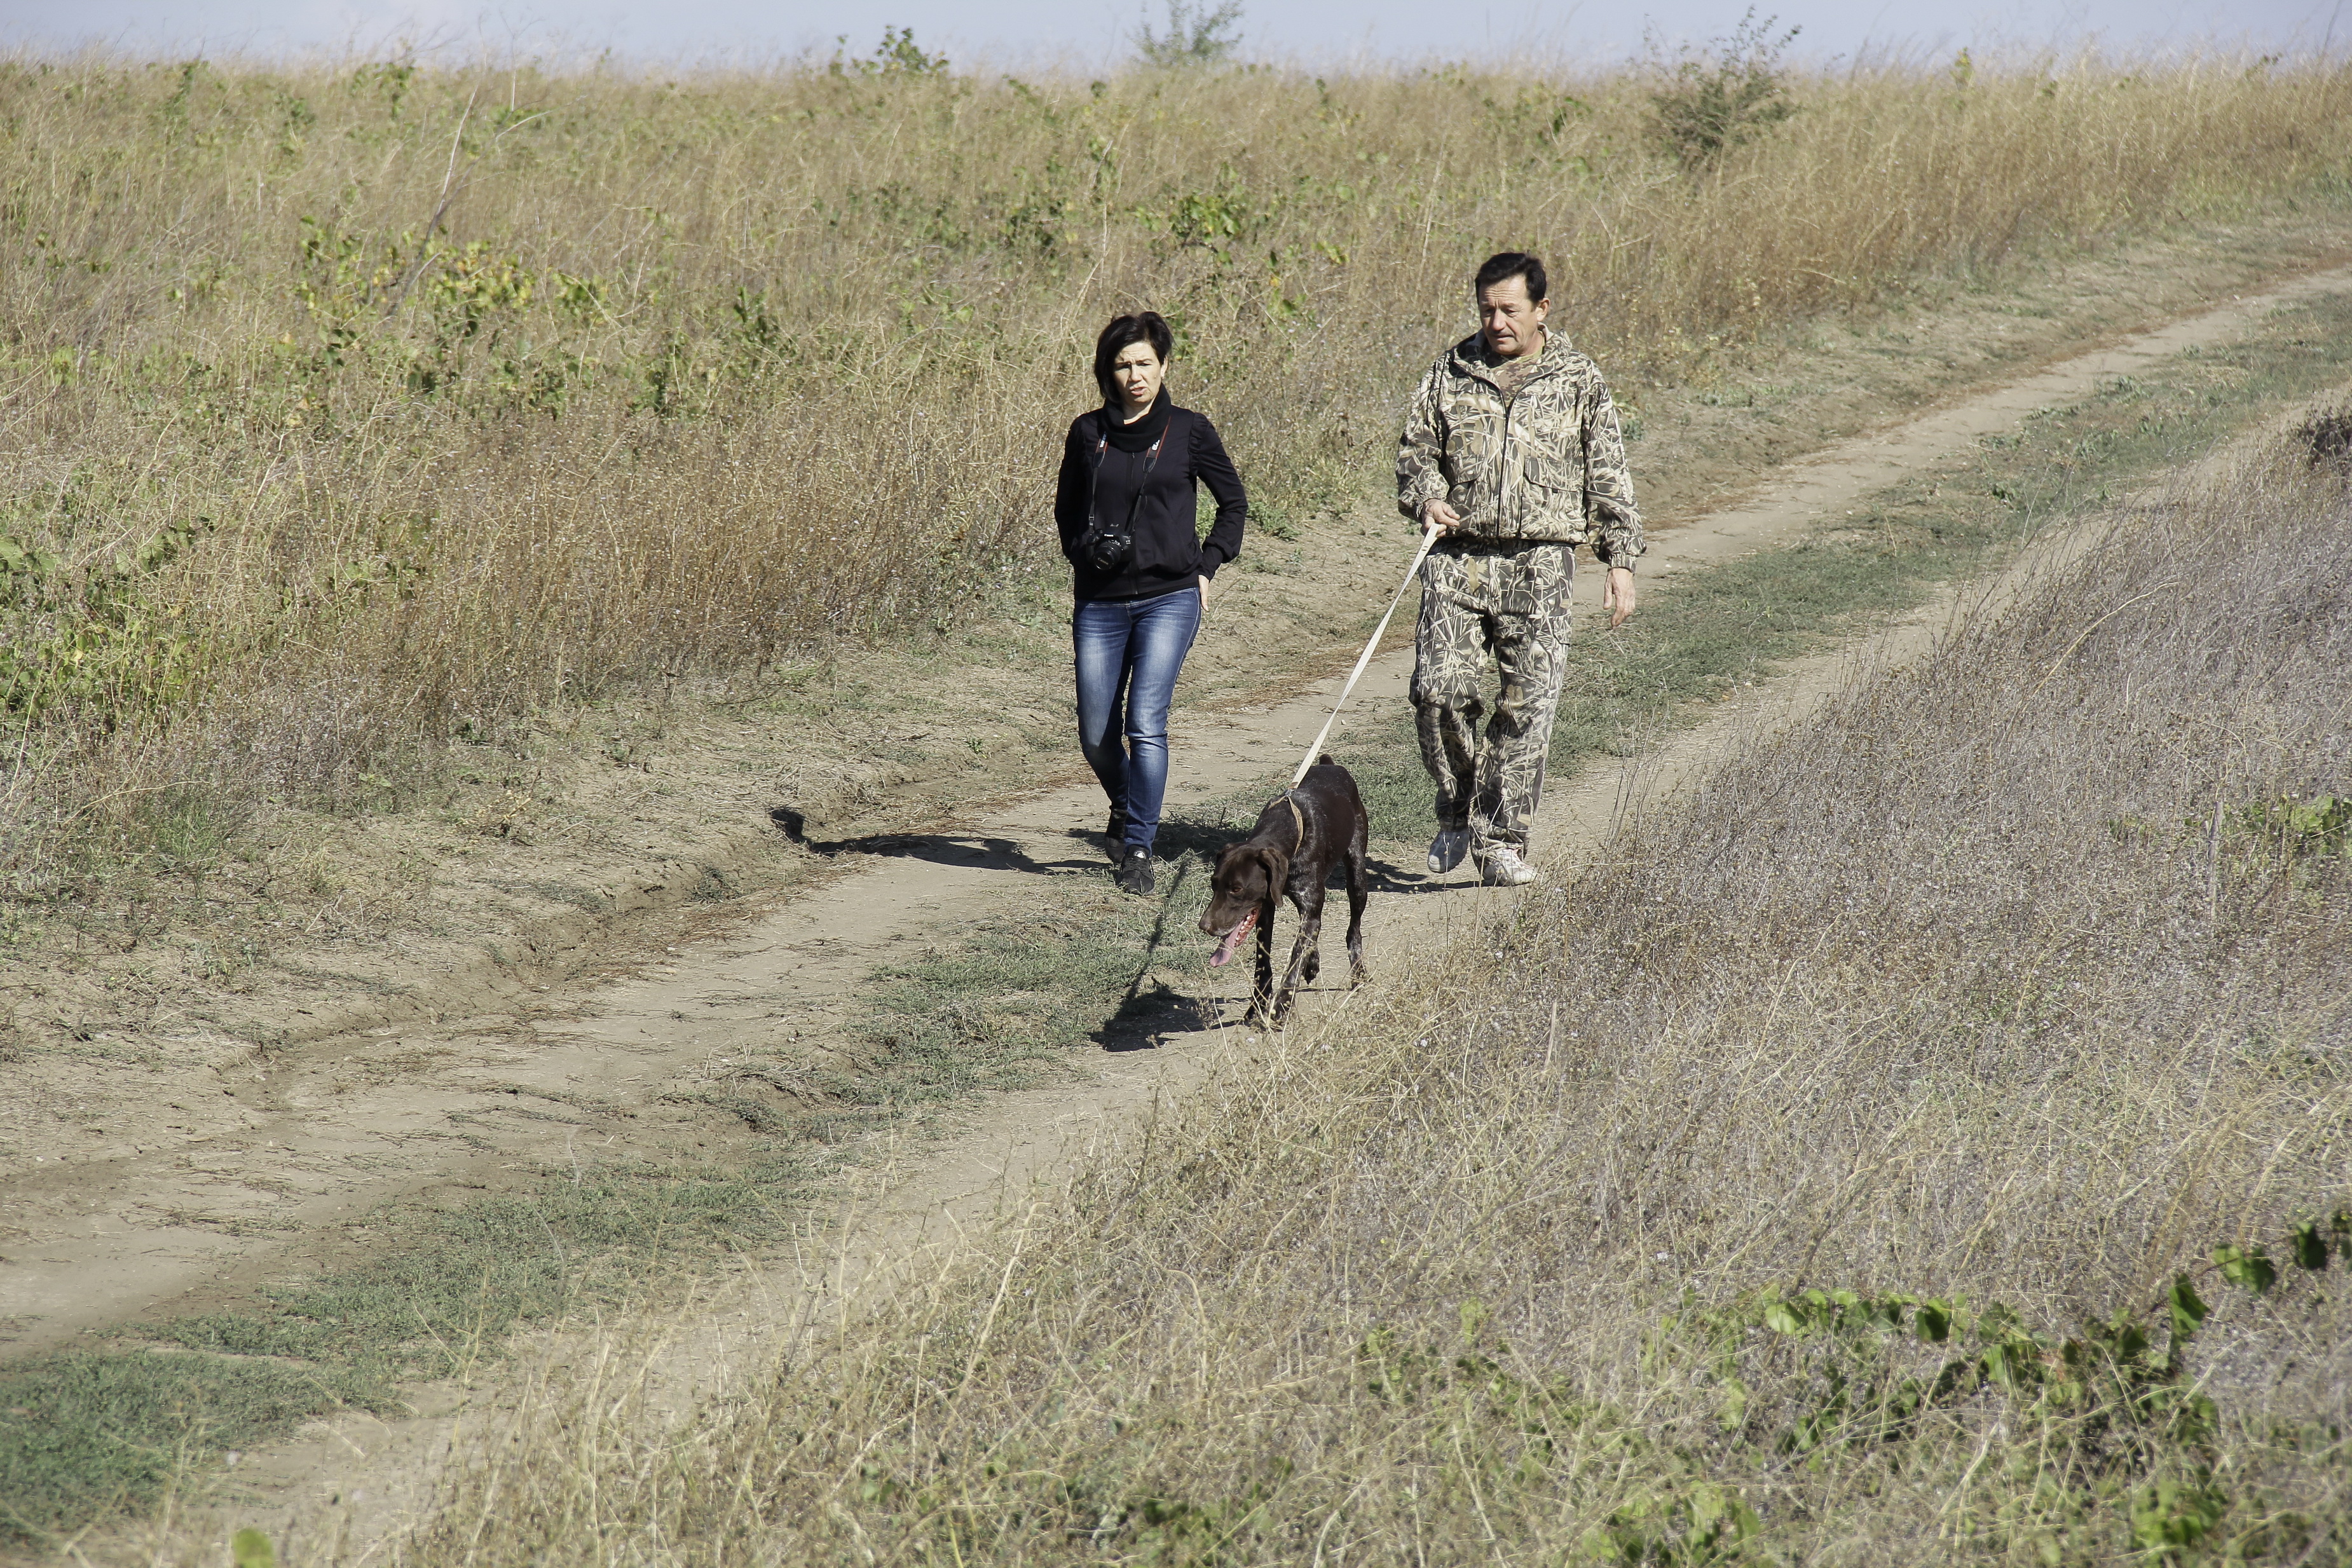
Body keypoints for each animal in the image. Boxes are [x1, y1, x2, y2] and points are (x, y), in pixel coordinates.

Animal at [1198, 756, 1370, 1027]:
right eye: (1214, 884)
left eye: (1237, 888)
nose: (1204, 926)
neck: (1290, 831)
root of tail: (1331, 764)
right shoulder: (1267, 908)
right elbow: (1263, 962)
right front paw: (1256, 1006)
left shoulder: (1309, 904)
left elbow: (1294, 963)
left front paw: (1281, 1007)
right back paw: (1313, 962)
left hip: (1357, 875)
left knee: (1353, 931)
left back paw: (1358, 974)